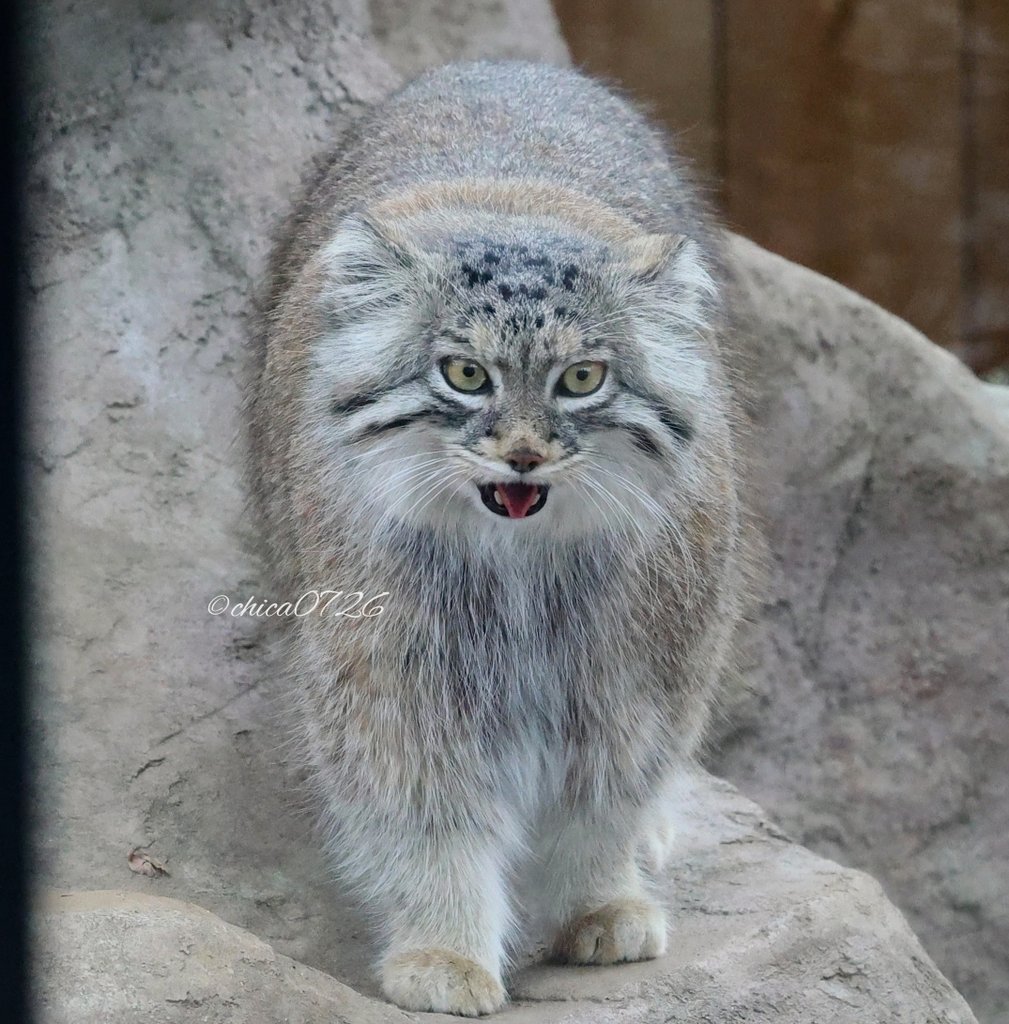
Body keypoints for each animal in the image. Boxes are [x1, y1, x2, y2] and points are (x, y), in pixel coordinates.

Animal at [247, 61, 745, 1015]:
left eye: (581, 379)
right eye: (464, 373)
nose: (522, 453)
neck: (518, 575)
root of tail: (510, 64)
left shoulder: (636, 664)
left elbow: (604, 798)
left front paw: (600, 900)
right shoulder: (393, 672)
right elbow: (425, 813)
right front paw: (443, 949)